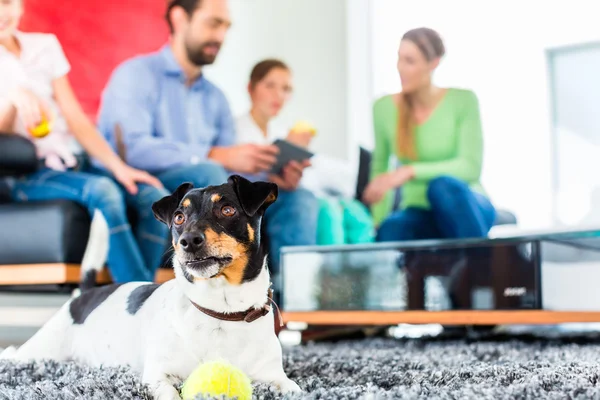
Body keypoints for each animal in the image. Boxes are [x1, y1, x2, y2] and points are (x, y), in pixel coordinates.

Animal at [0, 176, 300, 400]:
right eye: (178, 217)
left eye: (228, 210)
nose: (188, 241)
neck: (220, 312)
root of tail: (83, 295)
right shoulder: (158, 377)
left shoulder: (275, 376)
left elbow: (293, 388)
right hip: (41, 350)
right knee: (14, 354)